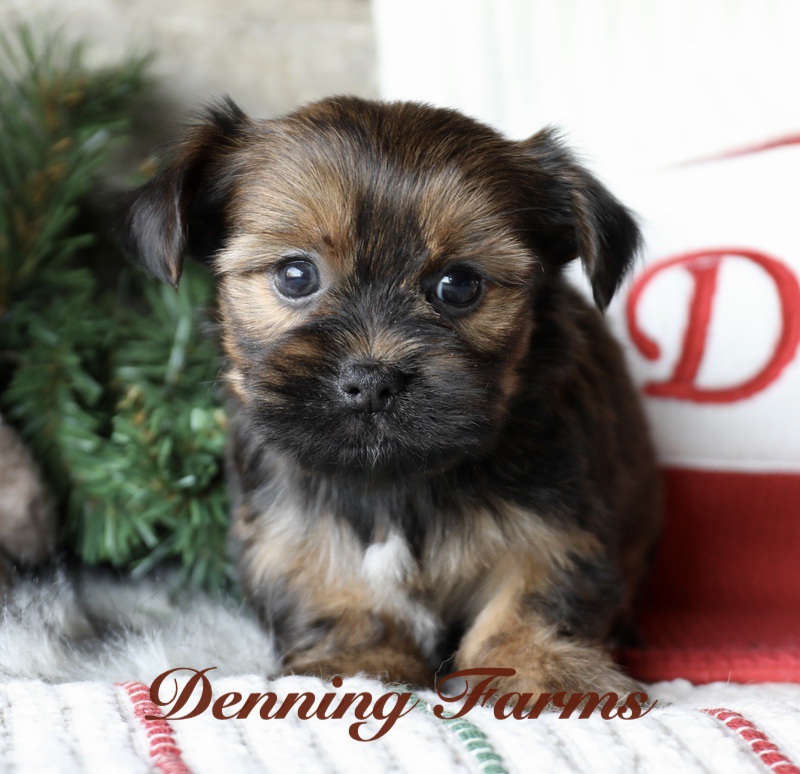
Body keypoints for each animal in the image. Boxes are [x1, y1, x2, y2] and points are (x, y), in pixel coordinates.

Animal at [120, 96, 662, 695]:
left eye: (459, 285)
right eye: (295, 275)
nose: (373, 380)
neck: (394, 479)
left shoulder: (555, 522)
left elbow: (535, 592)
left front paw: (540, 668)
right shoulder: (296, 530)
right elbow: (342, 593)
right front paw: (358, 661)